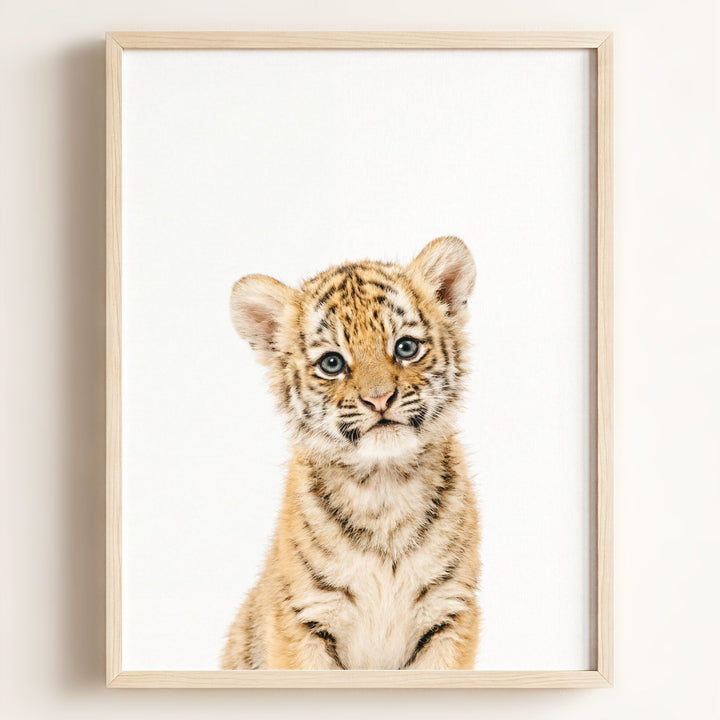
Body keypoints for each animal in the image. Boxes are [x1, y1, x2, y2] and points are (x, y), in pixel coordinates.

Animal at [221, 236, 480, 670]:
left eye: (405, 347)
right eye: (332, 363)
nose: (379, 399)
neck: (384, 485)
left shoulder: (449, 612)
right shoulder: (303, 618)